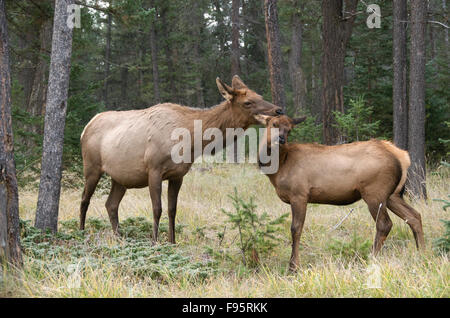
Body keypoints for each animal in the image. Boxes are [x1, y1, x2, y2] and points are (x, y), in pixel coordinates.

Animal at [256, 114, 426, 270]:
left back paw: (371, 257)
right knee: (414, 216)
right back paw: (422, 253)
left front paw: (293, 266)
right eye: (273, 123)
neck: (279, 168)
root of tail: (402, 157)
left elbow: (296, 229)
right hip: (392, 195)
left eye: (290, 129)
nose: (281, 139)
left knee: (385, 224)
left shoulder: (299, 194)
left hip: (374, 193)